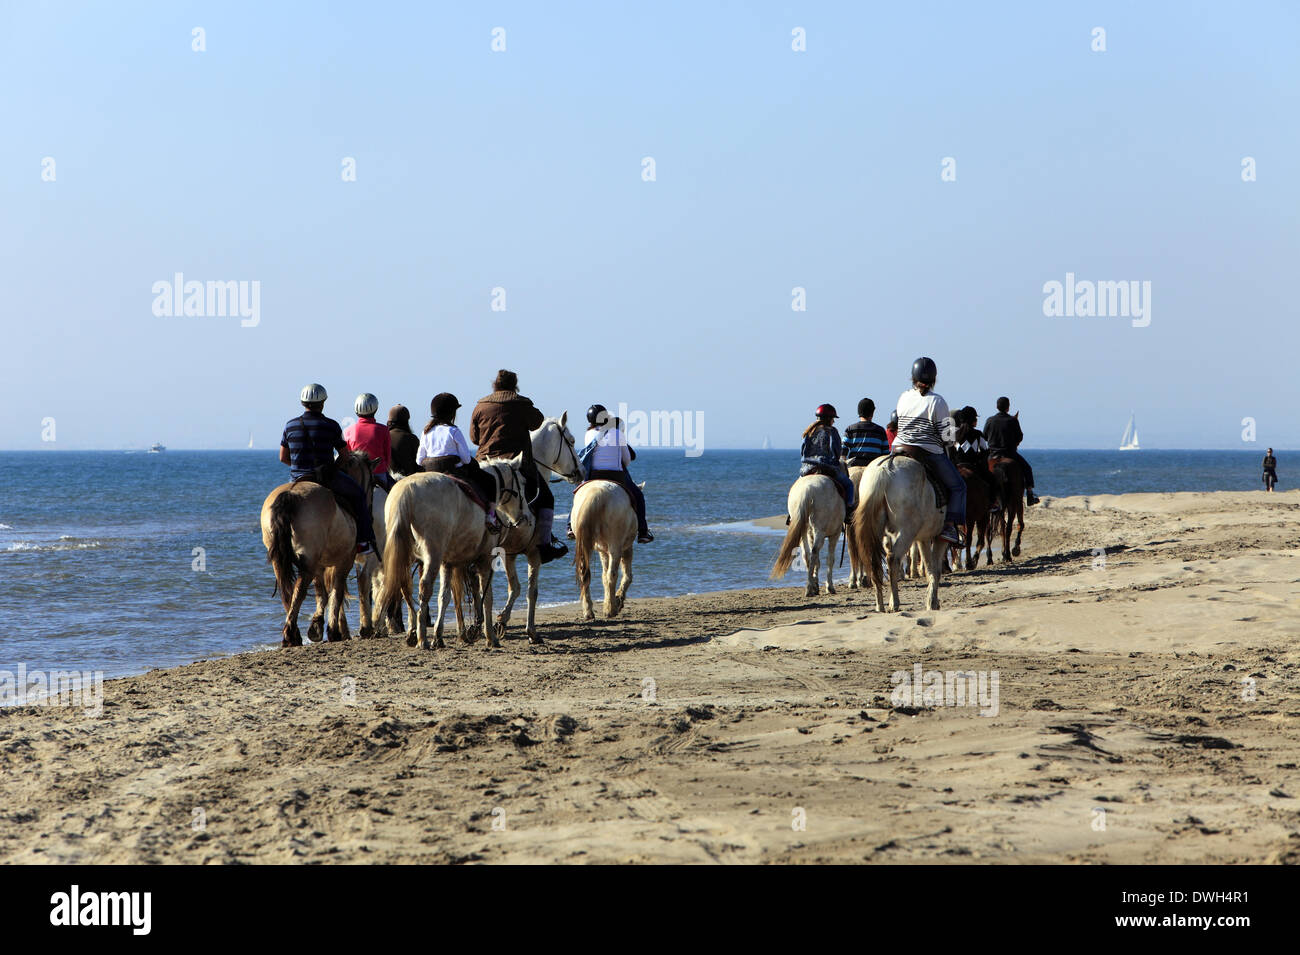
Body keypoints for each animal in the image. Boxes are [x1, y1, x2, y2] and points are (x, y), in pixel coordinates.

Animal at [256, 449, 374, 647]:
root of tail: (290, 495)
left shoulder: (320, 563)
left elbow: (322, 593)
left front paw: (317, 626)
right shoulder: (345, 560)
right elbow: (336, 592)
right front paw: (332, 631)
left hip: (281, 559)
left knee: (287, 591)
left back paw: (293, 633)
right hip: (309, 560)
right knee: (300, 589)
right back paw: (290, 634)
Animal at [374, 454, 525, 649]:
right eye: (522, 483)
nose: (521, 517)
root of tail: (407, 491)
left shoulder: (448, 563)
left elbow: (444, 597)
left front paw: (439, 636)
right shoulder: (485, 559)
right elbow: (487, 597)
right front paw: (491, 637)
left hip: (401, 554)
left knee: (401, 585)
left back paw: (413, 632)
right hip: (432, 555)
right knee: (424, 587)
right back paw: (421, 637)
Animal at [491, 415, 585, 647]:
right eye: (571, 441)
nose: (581, 471)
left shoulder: (509, 554)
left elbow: (514, 587)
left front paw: (502, 621)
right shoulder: (534, 553)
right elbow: (531, 591)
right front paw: (530, 631)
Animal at [574, 480, 644, 623]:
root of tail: (597, 495)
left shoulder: (603, 552)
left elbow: (603, 576)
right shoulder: (626, 548)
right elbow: (627, 575)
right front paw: (618, 599)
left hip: (586, 547)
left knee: (585, 575)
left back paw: (588, 612)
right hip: (615, 547)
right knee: (612, 575)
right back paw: (611, 610)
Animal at [842, 454, 946, 613]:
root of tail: (884, 470)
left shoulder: (923, 538)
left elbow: (930, 567)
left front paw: (931, 600)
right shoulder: (940, 537)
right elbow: (936, 569)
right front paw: (932, 602)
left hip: (876, 527)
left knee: (874, 561)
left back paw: (880, 605)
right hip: (907, 531)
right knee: (893, 558)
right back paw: (894, 603)